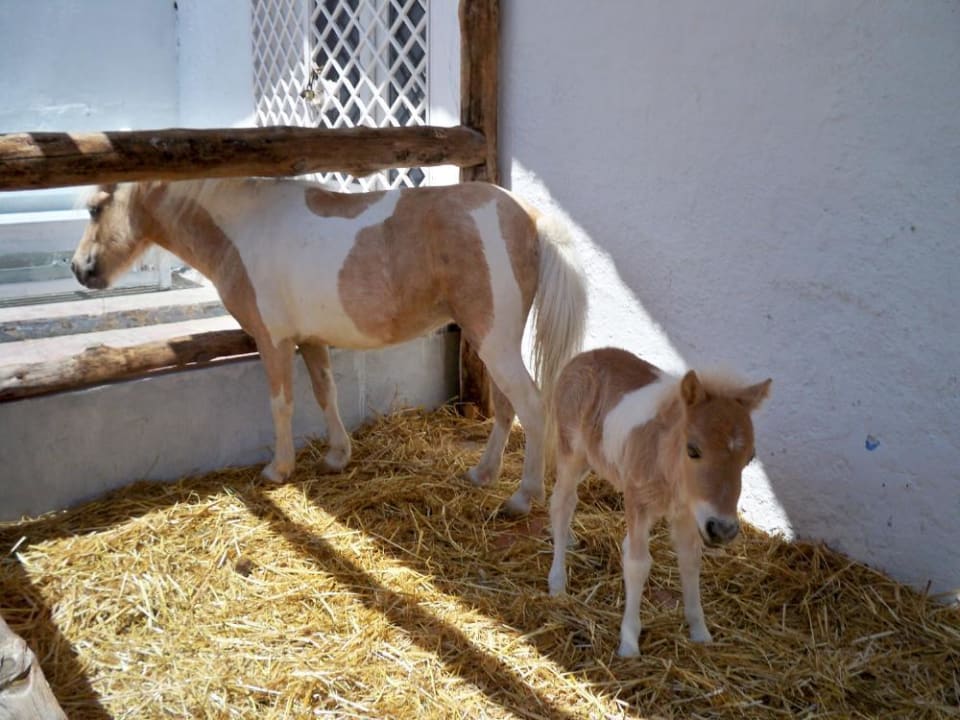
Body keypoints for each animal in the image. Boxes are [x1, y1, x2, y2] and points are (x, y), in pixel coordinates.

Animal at [71, 178, 587, 515]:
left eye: (95, 208)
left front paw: (278, 469)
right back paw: (483, 474)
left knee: (532, 407)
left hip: (495, 343)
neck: (243, 229)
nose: (80, 268)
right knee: (506, 407)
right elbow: (325, 394)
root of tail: (527, 216)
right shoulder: (310, 342)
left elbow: (281, 402)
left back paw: (523, 496)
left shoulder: (274, 341)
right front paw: (338, 456)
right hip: (490, 342)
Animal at [545, 347, 771, 656]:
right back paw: (557, 582)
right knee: (562, 503)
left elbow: (690, 560)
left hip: (590, 461)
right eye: (693, 449)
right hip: (571, 451)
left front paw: (700, 632)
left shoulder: (690, 515)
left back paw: (568, 539)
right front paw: (629, 643)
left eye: (749, 458)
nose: (723, 530)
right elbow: (637, 563)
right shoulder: (637, 503)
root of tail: (582, 357)